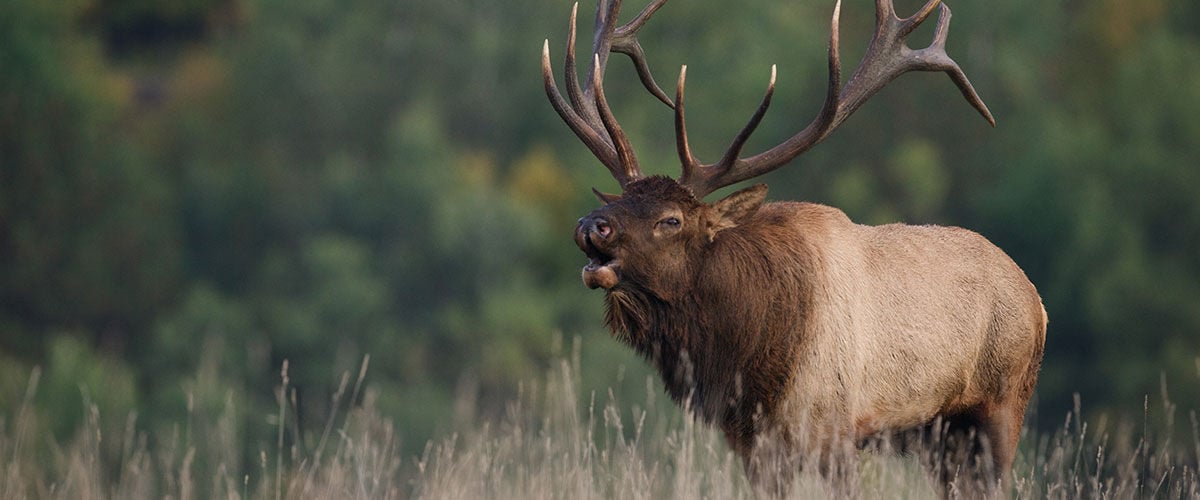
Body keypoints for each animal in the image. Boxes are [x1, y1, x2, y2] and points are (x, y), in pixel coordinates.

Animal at [541, 0, 1046, 495]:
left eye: (671, 220)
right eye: (619, 200)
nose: (591, 225)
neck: (750, 357)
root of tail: (1036, 300)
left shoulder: (834, 430)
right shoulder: (752, 443)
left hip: (1002, 404)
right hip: (940, 435)